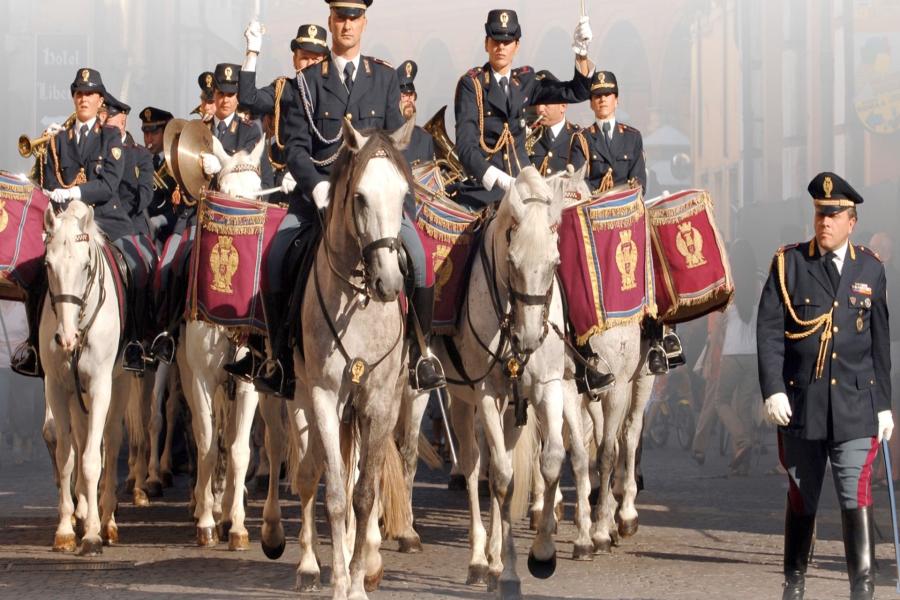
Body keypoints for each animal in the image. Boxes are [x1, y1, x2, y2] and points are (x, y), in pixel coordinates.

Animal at [41, 200, 135, 552]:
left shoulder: (99, 385)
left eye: (85, 266)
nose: (66, 338)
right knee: (80, 439)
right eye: (47, 264)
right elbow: (67, 456)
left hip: (121, 383)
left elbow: (94, 458)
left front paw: (93, 532)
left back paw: (106, 520)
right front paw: (66, 529)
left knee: (111, 438)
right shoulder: (57, 386)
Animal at [440, 165, 572, 600]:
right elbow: (499, 477)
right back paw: (481, 560)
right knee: (473, 466)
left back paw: (496, 558)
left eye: (556, 261)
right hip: (463, 400)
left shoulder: (547, 387)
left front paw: (542, 554)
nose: (529, 338)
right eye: (511, 261)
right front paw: (508, 569)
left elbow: (550, 460)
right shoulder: (486, 394)